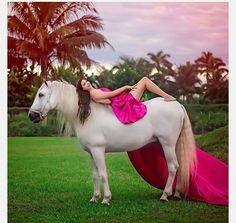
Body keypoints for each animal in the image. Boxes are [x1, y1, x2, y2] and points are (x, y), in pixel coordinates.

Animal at [28, 81, 196, 205]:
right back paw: (176, 193)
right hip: (174, 145)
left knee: (173, 167)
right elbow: (95, 175)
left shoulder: (98, 151)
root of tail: (177, 104)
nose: (31, 116)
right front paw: (94, 198)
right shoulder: (91, 153)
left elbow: (103, 174)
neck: (88, 116)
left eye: (41, 94)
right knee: (181, 165)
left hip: (167, 144)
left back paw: (165, 195)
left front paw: (106, 198)